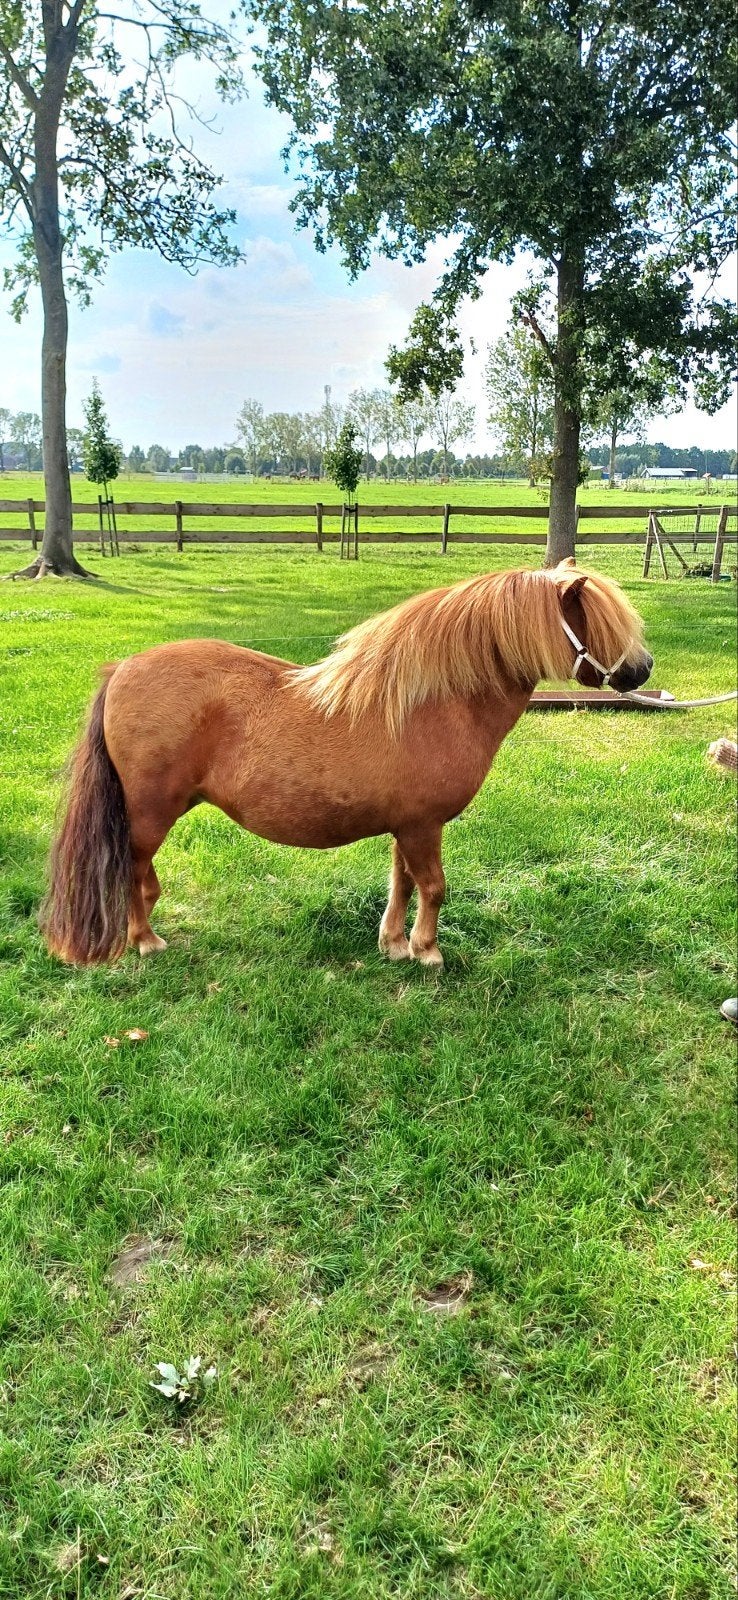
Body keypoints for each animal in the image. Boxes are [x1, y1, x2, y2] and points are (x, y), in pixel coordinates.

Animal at [42, 559, 653, 970]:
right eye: (600, 622)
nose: (642, 670)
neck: (434, 702)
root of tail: (122, 669)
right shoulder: (423, 827)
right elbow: (433, 887)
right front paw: (428, 951)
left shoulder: (410, 826)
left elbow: (402, 884)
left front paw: (395, 944)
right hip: (149, 814)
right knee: (133, 871)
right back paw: (144, 940)